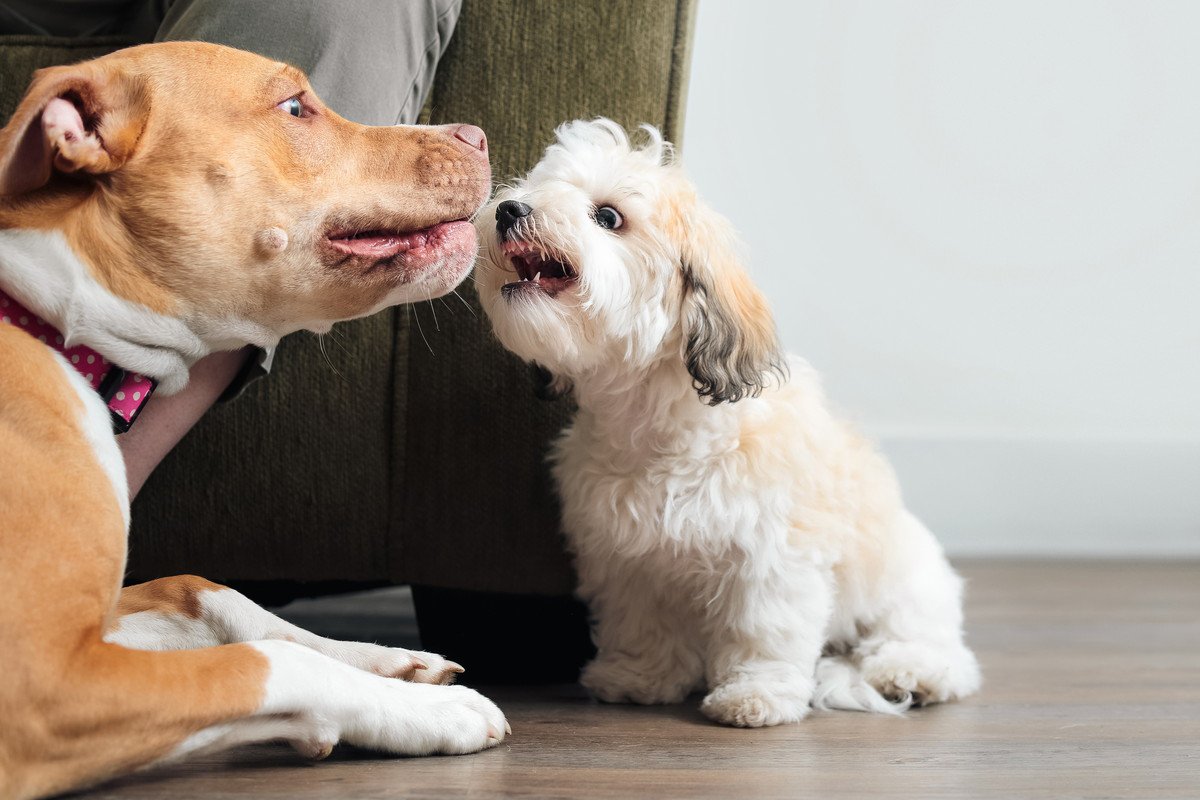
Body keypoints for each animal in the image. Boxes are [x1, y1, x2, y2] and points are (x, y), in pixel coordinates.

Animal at [0, 43, 506, 800]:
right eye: (294, 107)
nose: (476, 134)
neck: (55, 323)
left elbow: (204, 590)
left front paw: (388, 662)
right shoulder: (43, 686)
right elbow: (271, 661)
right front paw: (428, 711)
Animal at [472, 118, 979, 724]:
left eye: (608, 217)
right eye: (538, 186)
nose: (508, 210)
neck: (659, 428)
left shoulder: (771, 556)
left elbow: (762, 630)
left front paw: (755, 695)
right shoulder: (628, 558)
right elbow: (642, 623)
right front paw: (639, 676)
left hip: (904, 586)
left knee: (935, 650)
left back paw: (911, 672)